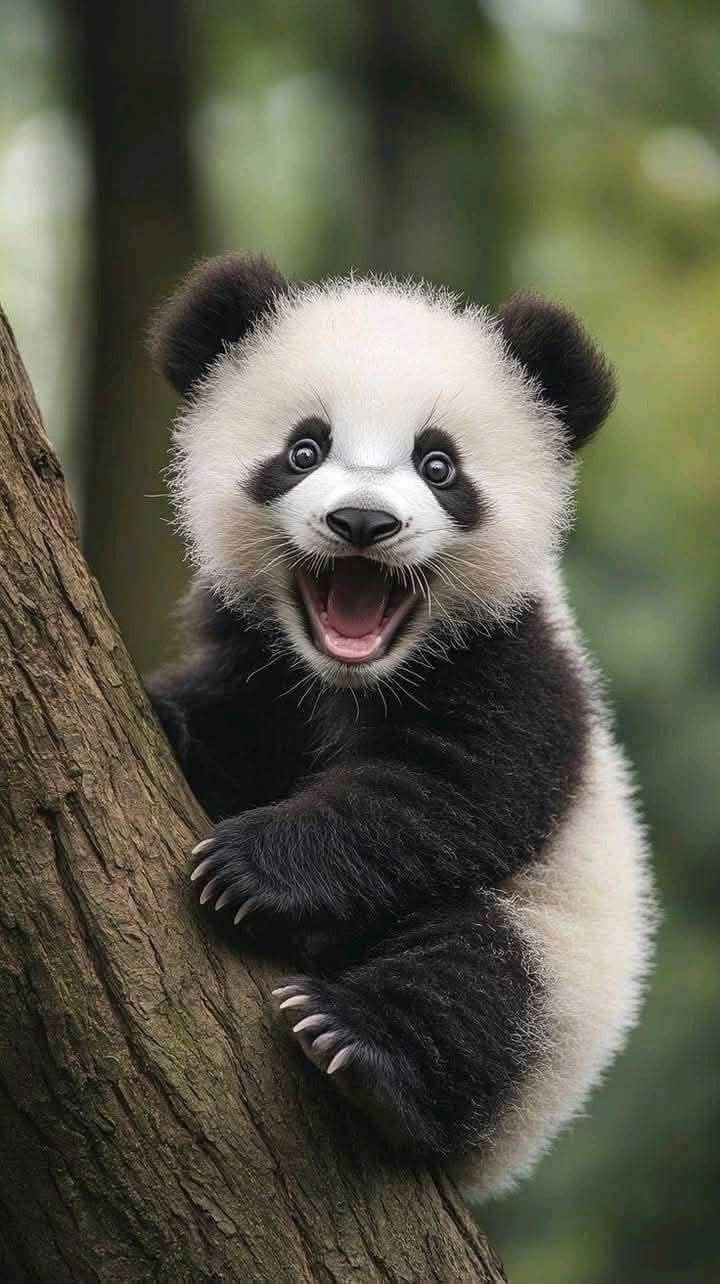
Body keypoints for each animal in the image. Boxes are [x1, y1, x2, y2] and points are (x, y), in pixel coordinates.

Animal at [146, 253, 656, 1199]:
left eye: (439, 464)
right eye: (304, 449)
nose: (362, 523)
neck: (348, 678)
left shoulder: (514, 668)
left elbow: (448, 792)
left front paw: (250, 866)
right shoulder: (259, 662)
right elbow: (227, 731)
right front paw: (170, 719)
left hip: (558, 984)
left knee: (477, 981)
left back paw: (365, 1051)